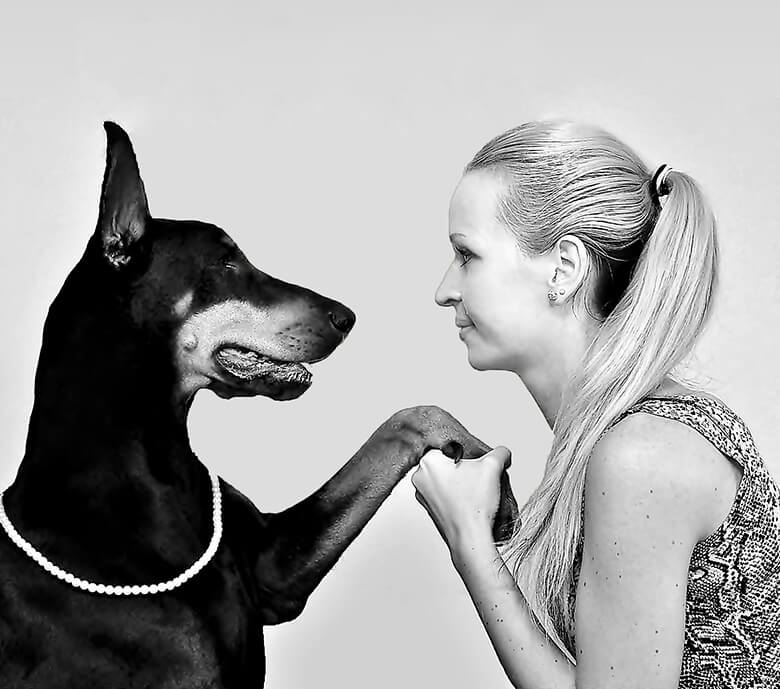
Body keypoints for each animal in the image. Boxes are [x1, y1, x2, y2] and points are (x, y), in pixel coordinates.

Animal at [0, 125, 516, 688]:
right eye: (228, 263)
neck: (152, 469)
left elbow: (408, 417)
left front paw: (485, 471)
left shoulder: (276, 568)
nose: (347, 318)